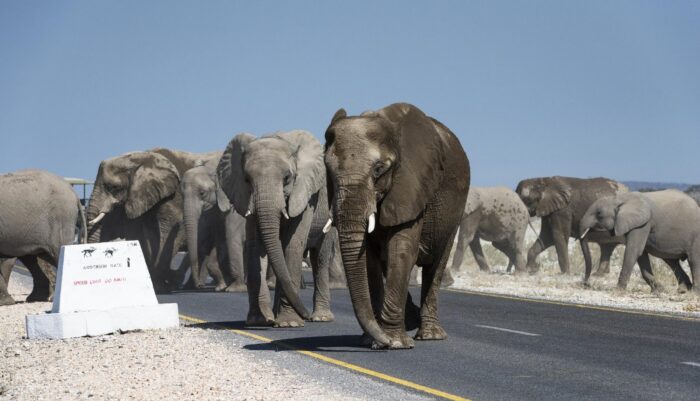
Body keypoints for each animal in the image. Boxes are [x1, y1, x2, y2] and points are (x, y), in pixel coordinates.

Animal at [87, 147, 219, 290]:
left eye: (113, 187)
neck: (141, 158)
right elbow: (147, 238)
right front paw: (158, 284)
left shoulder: (173, 195)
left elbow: (171, 232)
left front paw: (160, 287)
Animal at [180, 158, 246, 292]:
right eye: (181, 195)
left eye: (202, 193)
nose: (199, 286)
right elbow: (219, 238)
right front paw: (222, 286)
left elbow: (231, 236)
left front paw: (235, 289)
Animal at [219, 130, 340, 326]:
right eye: (246, 179)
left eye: (287, 178)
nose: (305, 315)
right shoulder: (246, 198)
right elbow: (255, 247)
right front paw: (259, 321)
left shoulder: (305, 195)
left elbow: (293, 244)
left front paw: (290, 323)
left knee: (320, 258)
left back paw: (320, 318)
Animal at [324, 102, 470, 346]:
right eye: (329, 171)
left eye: (378, 169)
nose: (384, 342)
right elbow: (369, 260)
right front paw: (372, 340)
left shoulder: (412, 187)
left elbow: (401, 251)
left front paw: (394, 343)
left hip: (455, 212)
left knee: (436, 265)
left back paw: (430, 335)